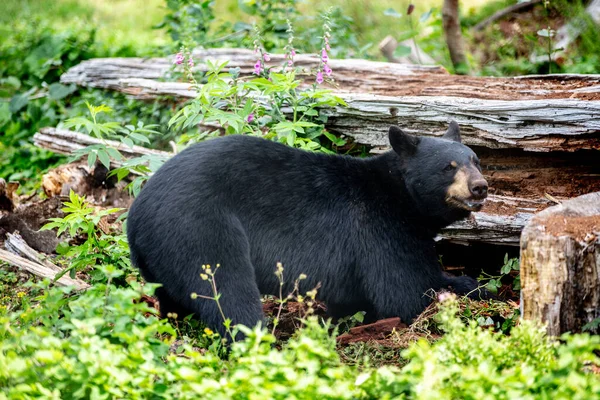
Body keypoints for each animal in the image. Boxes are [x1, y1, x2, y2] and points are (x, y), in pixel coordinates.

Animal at [126, 122, 488, 338]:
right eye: (448, 167)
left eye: (475, 159)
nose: (480, 187)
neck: (402, 196)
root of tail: (137, 212)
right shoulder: (380, 228)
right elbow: (403, 291)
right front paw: (465, 289)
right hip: (198, 226)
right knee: (228, 292)